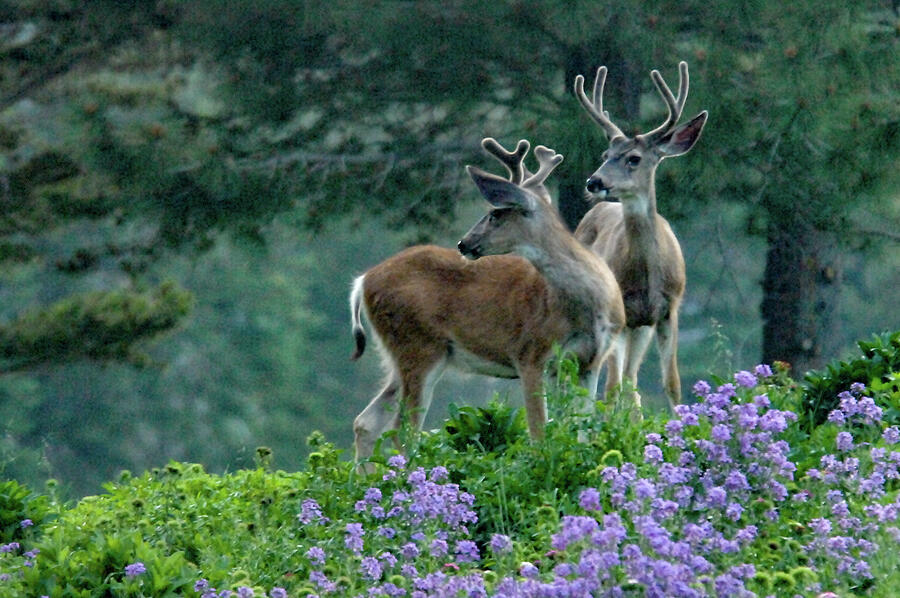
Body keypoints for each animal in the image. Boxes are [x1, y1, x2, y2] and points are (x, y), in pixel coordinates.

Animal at [349, 138, 625, 460]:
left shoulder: (590, 360)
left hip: (405, 354)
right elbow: (539, 433)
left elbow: (579, 430)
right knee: (402, 432)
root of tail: (363, 281)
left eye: (495, 214)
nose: (463, 243)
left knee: (367, 422)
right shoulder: (530, 352)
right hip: (418, 345)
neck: (589, 305)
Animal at [573, 61, 707, 412]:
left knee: (631, 380)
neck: (647, 275)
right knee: (598, 380)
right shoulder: (621, 316)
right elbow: (611, 387)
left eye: (633, 158)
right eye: (605, 153)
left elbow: (672, 384)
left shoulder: (669, 309)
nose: (594, 182)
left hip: (640, 328)